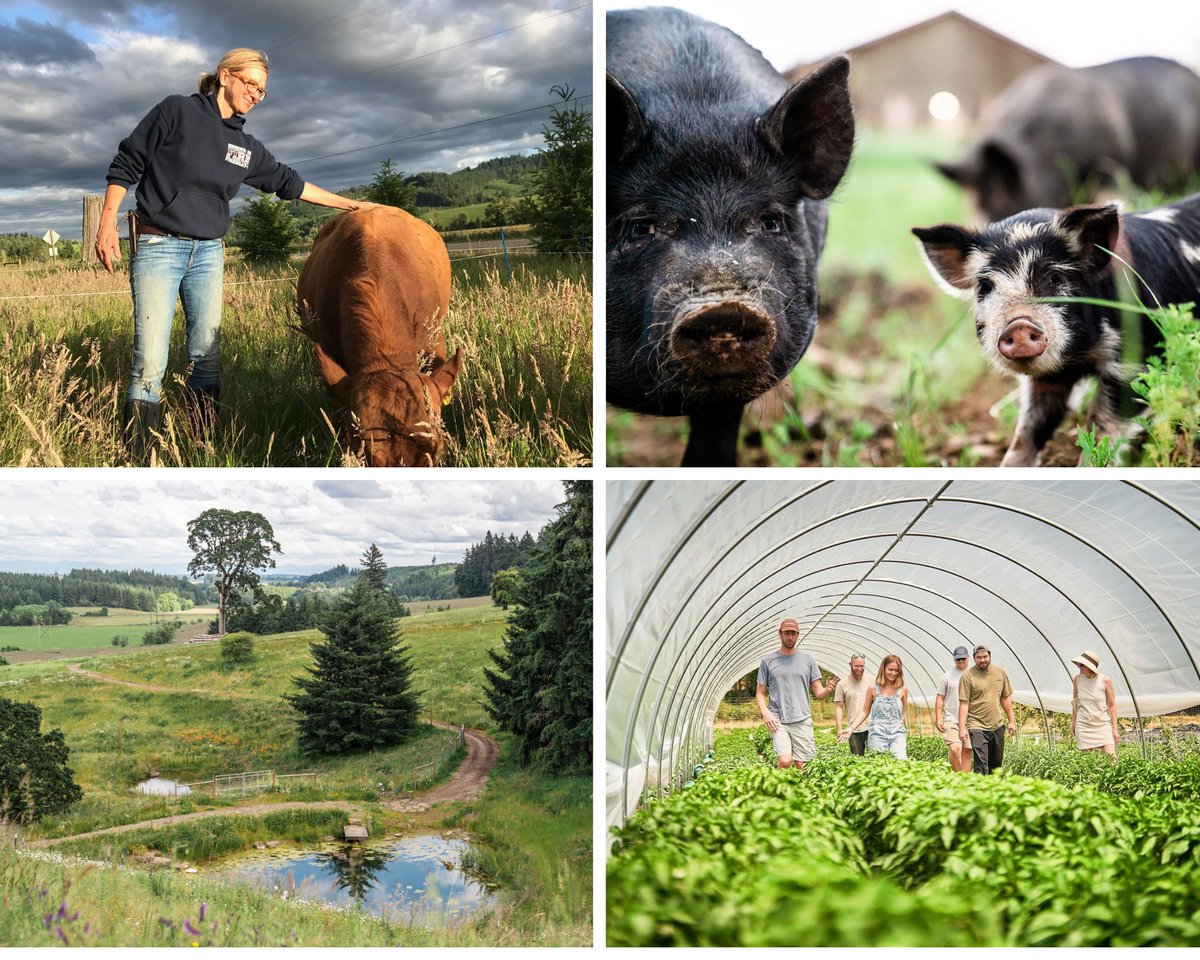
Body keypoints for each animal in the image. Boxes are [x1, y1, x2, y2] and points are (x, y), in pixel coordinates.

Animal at [912, 194, 1200, 465]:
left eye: (1055, 277)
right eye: (985, 286)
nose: (1018, 325)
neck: (1079, 355)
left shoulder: (1137, 357)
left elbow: (1105, 428)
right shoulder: (1049, 379)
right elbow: (1029, 430)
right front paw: (1008, 468)